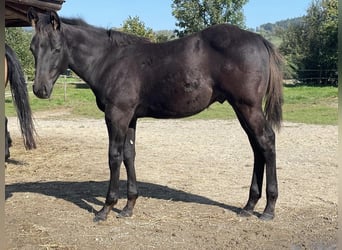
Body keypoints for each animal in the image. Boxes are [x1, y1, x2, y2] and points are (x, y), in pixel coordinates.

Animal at [27, 8, 284, 222]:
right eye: (32, 48)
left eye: (56, 49)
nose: (40, 90)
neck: (109, 60)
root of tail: (259, 39)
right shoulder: (130, 118)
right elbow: (129, 155)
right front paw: (129, 206)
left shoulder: (116, 115)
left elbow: (114, 156)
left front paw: (106, 208)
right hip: (241, 108)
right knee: (256, 146)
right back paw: (249, 206)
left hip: (248, 106)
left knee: (266, 141)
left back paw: (268, 209)